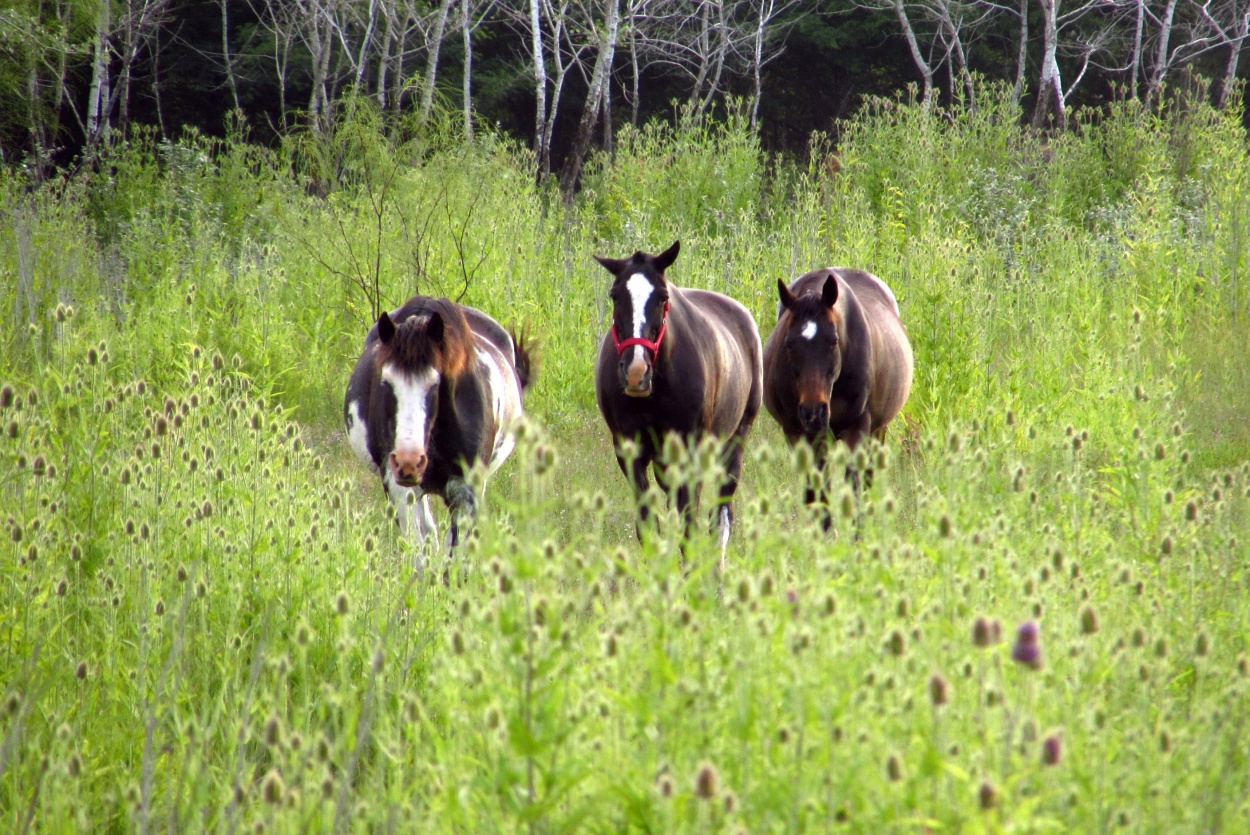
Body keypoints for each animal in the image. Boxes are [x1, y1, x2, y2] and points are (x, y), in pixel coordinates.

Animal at [592, 237, 760, 560]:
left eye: (662, 297)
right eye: (614, 296)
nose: (636, 372)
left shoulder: (691, 452)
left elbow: (689, 528)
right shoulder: (629, 451)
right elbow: (648, 527)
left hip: (735, 440)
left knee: (721, 519)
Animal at [755, 271, 915, 525]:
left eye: (834, 341)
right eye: (789, 343)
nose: (813, 412)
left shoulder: (858, 429)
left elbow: (855, 489)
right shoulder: (802, 436)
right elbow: (818, 495)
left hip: (878, 431)